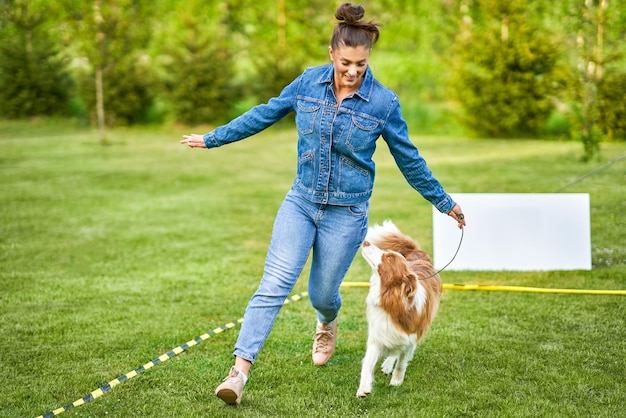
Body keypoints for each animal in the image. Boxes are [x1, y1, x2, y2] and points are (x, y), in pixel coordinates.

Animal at [354, 220, 442, 396]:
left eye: (388, 257)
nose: (365, 242)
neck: (390, 300)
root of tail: (419, 254)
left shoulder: (410, 336)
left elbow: (401, 362)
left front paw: (396, 381)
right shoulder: (378, 332)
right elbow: (367, 364)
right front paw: (364, 388)